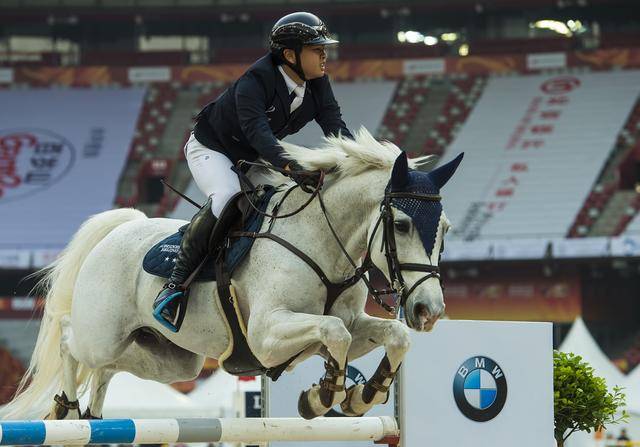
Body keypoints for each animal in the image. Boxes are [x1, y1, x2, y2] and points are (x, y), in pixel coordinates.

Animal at [0, 129, 460, 424]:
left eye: (446, 228)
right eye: (401, 225)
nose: (429, 311)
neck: (321, 240)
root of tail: (121, 228)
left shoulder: (351, 323)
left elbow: (389, 335)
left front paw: (364, 395)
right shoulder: (266, 336)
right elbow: (334, 332)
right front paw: (324, 395)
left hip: (175, 361)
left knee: (111, 367)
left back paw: (91, 413)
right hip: (101, 334)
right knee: (69, 339)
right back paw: (65, 408)